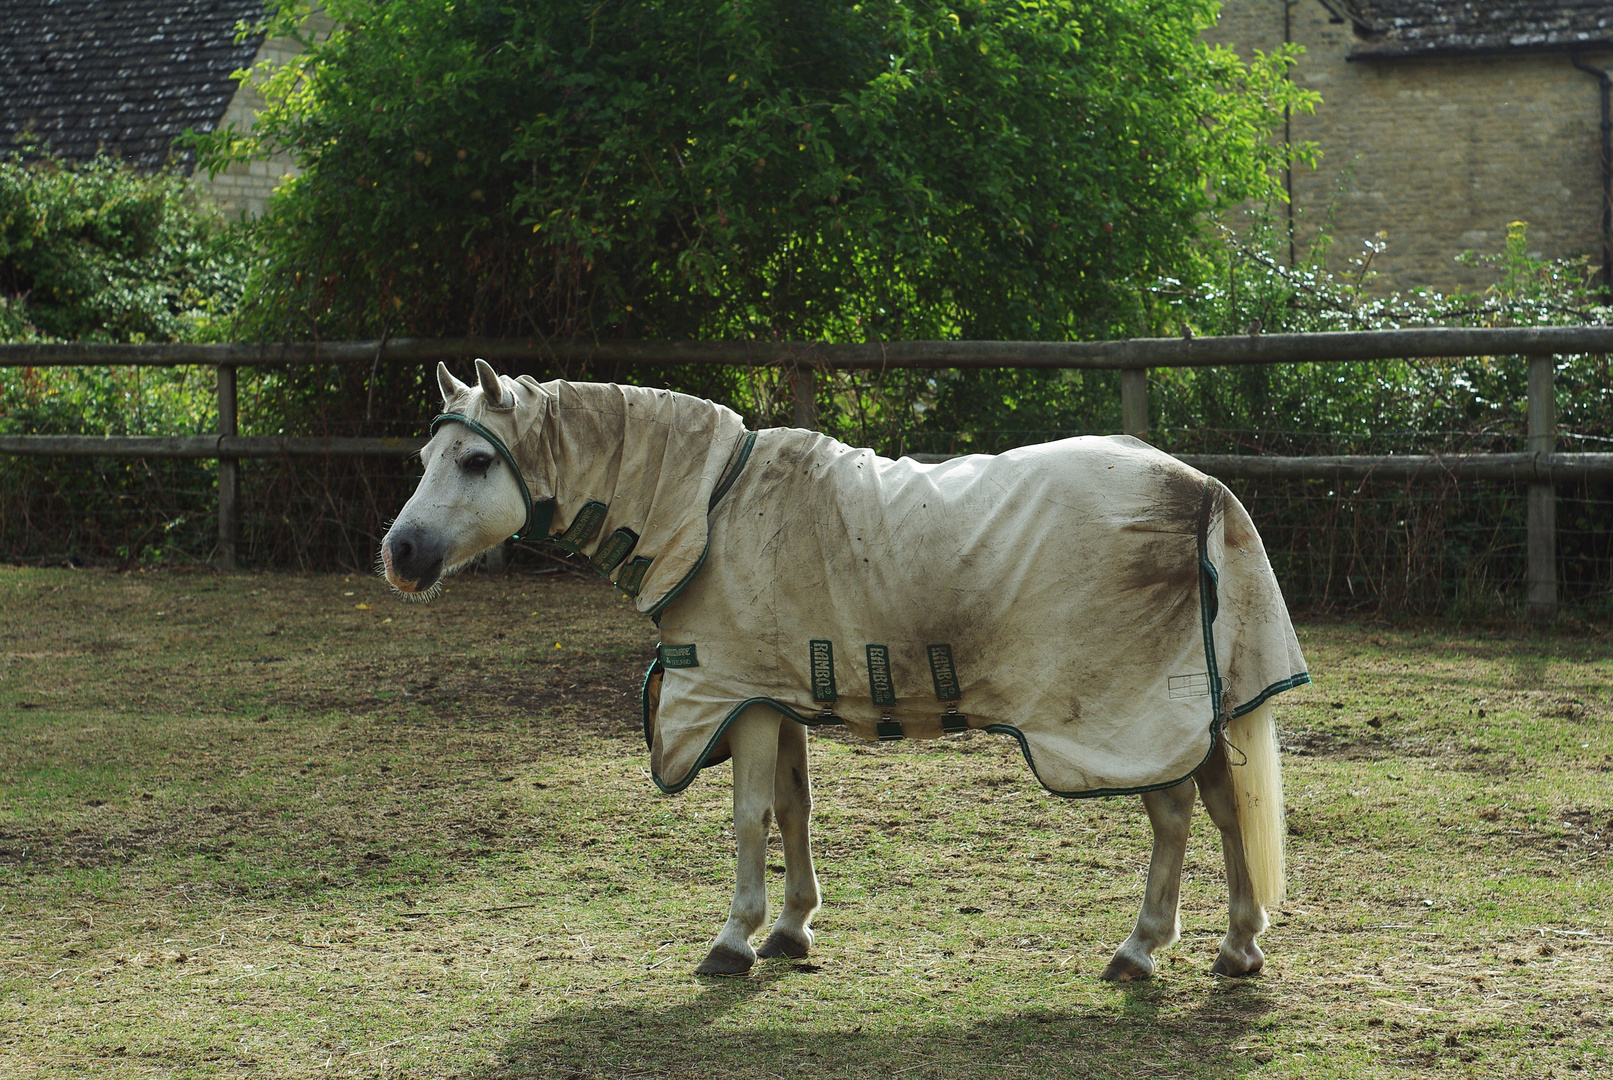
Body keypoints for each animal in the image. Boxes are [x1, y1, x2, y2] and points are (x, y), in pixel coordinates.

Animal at [380, 361, 1309, 980]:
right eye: (428, 459)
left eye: (475, 461)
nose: (400, 554)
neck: (712, 510)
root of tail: (1199, 488)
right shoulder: (775, 693)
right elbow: (794, 809)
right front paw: (791, 930)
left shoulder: (738, 696)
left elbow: (750, 816)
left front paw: (734, 939)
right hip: (1186, 711)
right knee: (1222, 807)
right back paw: (1236, 945)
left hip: (1132, 716)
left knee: (1173, 816)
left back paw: (1142, 949)